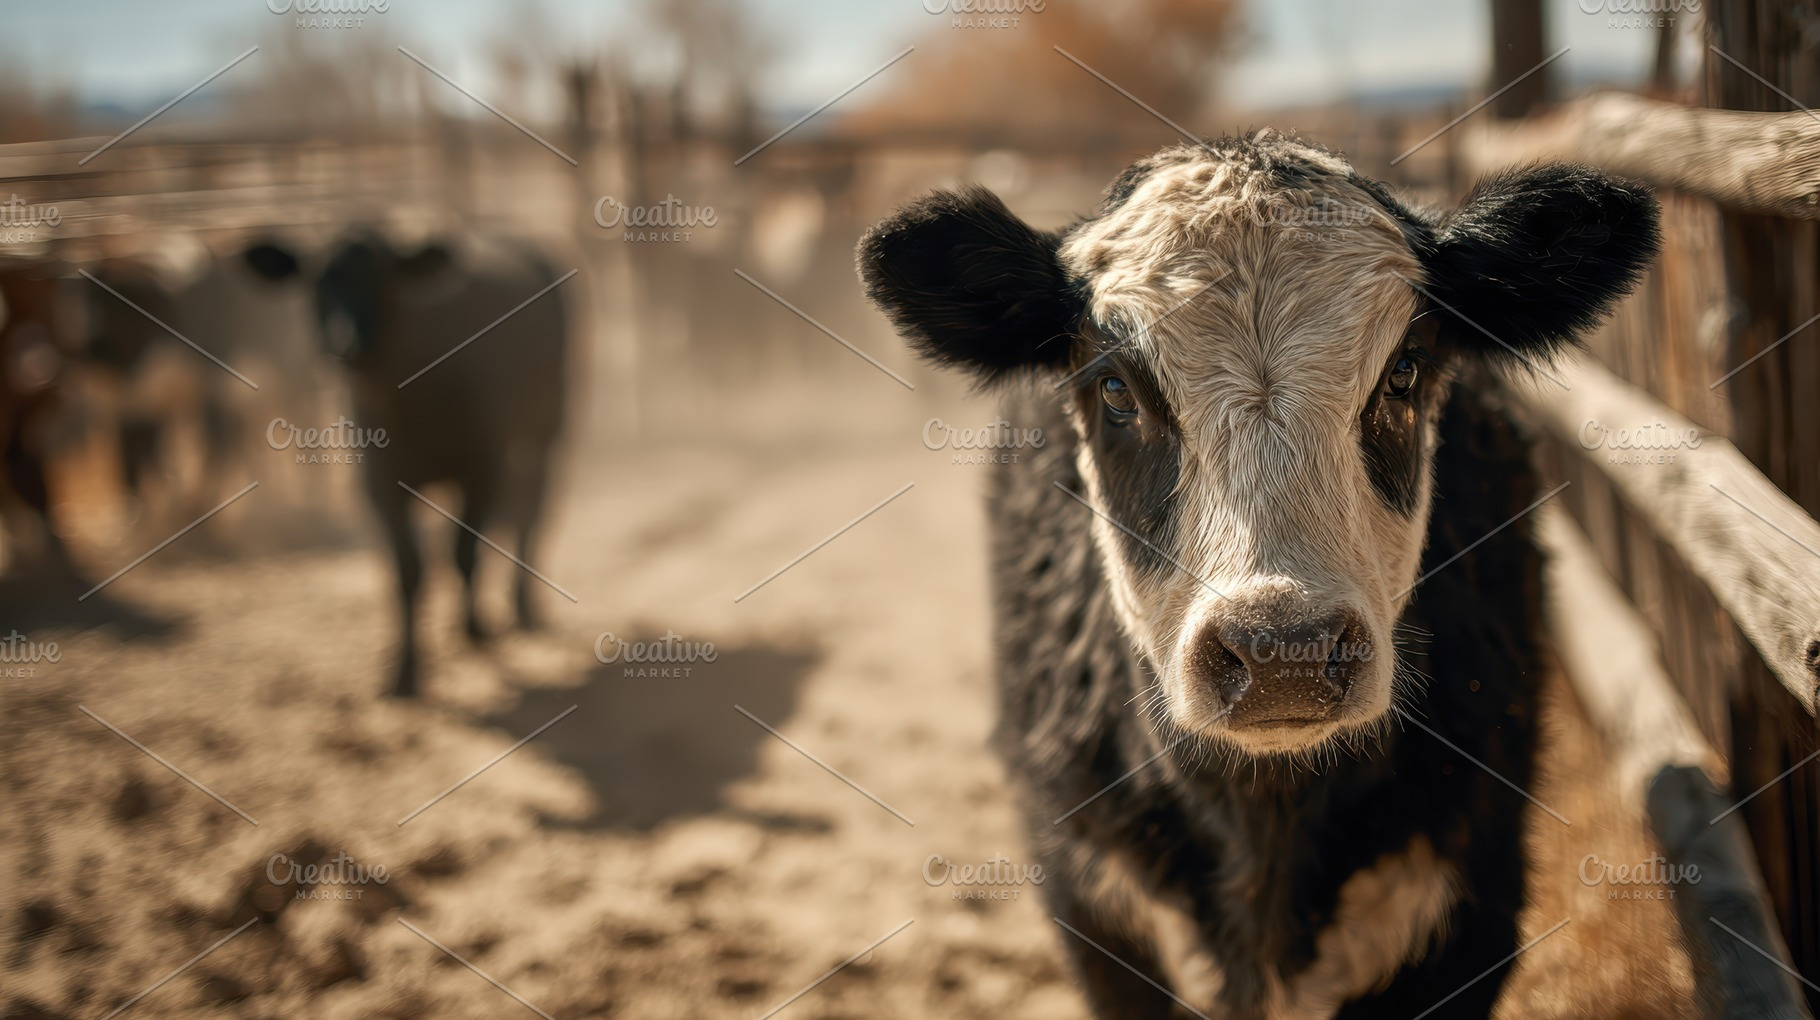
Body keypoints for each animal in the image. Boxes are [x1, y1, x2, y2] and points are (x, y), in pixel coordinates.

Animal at [244, 232, 570, 697]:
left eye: (382, 280)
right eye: (314, 281)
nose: (343, 346)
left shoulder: (481, 468)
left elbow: (464, 552)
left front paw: (474, 629)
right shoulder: (379, 484)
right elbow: (408, 571)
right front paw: (405, 670)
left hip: (546, 429)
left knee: (529, 513)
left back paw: (524, 607)